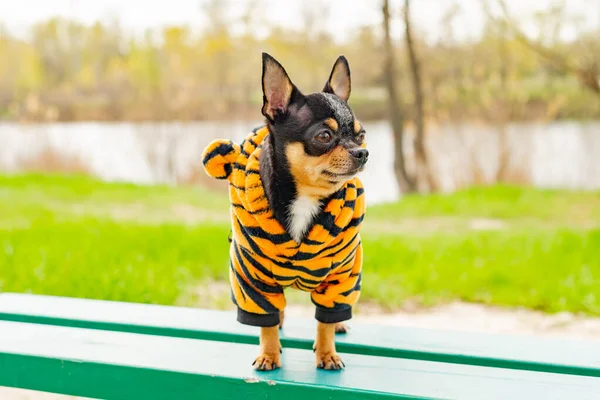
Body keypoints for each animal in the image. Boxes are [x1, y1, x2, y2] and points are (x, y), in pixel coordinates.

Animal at [204, 53, 368, 372]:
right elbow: (265, 323)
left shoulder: (340, 276)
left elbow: (325, 322)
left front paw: (327, 353)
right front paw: (269, 354)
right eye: (324, 136)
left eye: (361, 135)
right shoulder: (252, 280)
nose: (362, 152)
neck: (307, 198)